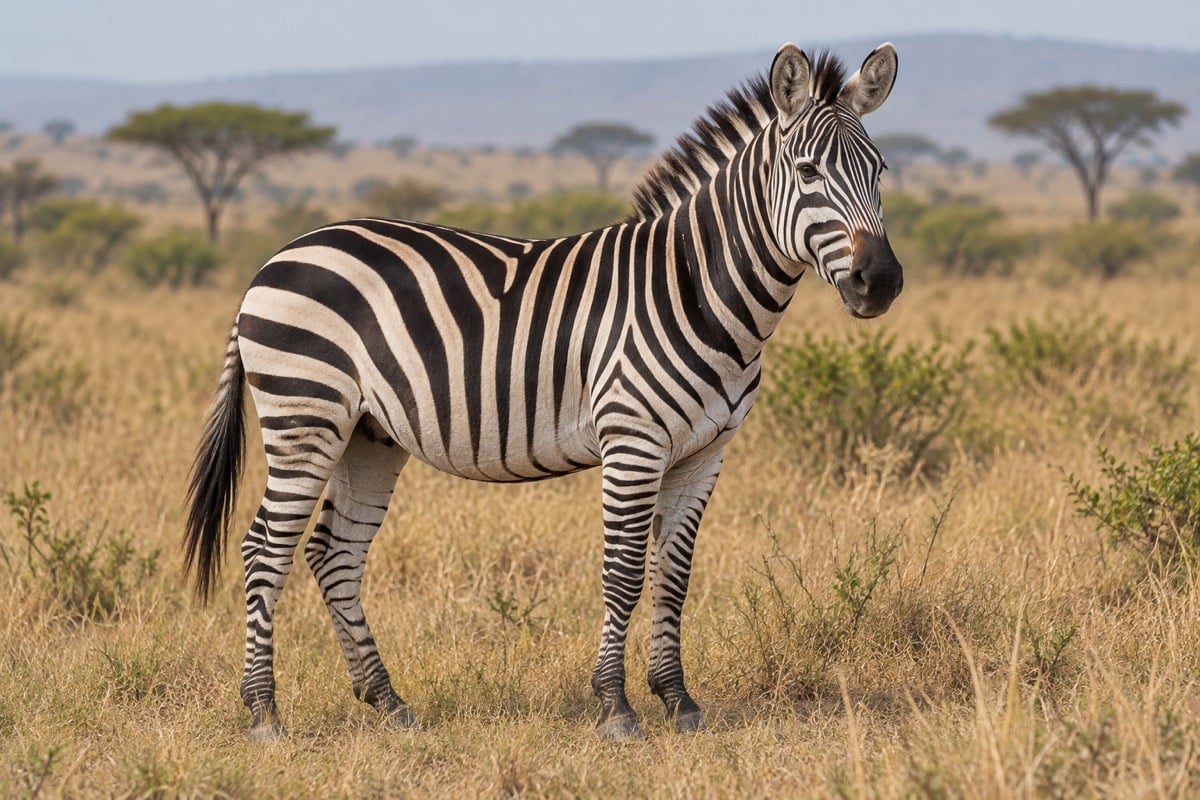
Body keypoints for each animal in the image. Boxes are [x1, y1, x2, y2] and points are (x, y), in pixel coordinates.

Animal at [185, 42, 903, 741]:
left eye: (880, 172)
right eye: (807, 173)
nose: (881, 281)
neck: (697, 288)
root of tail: (275, 260)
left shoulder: (704, 453)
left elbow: (673, 577)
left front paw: (678, 700)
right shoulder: (633, 442)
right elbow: (624, 573)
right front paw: (615, 707)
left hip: (368, 434)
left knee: (333, 553)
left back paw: (388, 702)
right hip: (304, 416)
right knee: (264, 550)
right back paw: (264, 713)